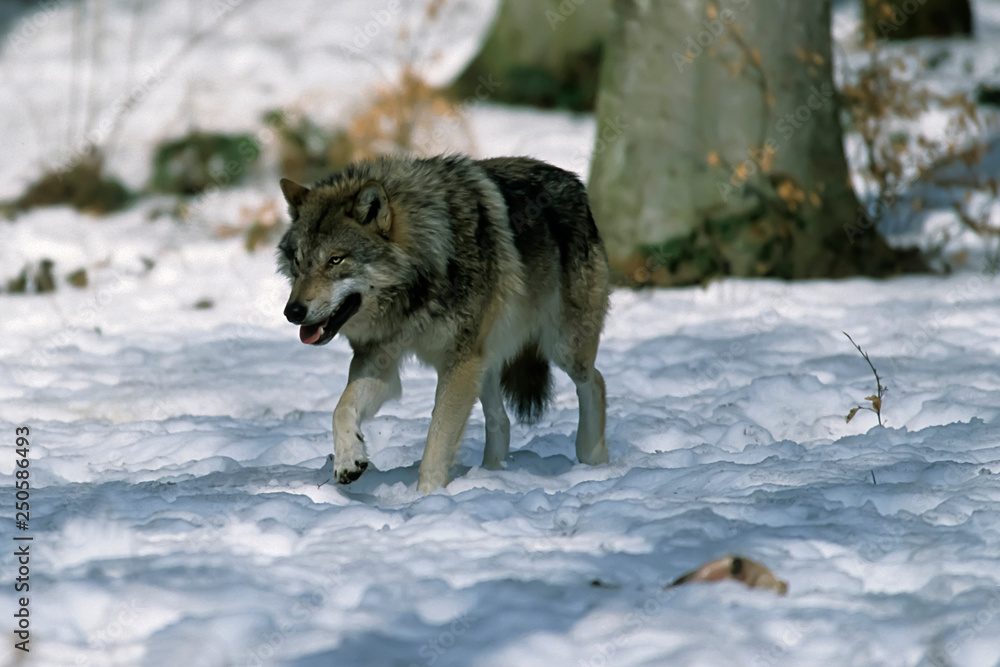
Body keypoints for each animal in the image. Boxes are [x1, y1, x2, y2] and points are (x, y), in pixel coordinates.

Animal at [276, 154, 610, 493]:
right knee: (500, 420)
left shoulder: (458, 362)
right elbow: (341, 408)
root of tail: (572, 180)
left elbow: (438, 438)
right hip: (485, 360)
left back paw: (592, 459)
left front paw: (427, 496)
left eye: (335, 260)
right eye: (298, 262)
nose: (293, 312)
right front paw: (348, 460)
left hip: (561, 347)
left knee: (595, 381)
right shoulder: (378, 361)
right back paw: (491, 474)